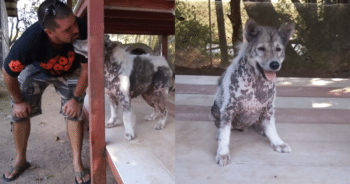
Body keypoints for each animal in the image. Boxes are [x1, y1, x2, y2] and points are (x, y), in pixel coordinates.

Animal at [211, 19, 296, 166]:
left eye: (278, 49)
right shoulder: (228, 109)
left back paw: (262, 129)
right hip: (215, 109)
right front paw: (222, 153)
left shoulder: (269, 108)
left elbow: (272, 127)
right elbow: (225, 135)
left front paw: (277, 142)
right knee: (219, 124)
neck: (256, 83)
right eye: (261, 49)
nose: (275, 64)